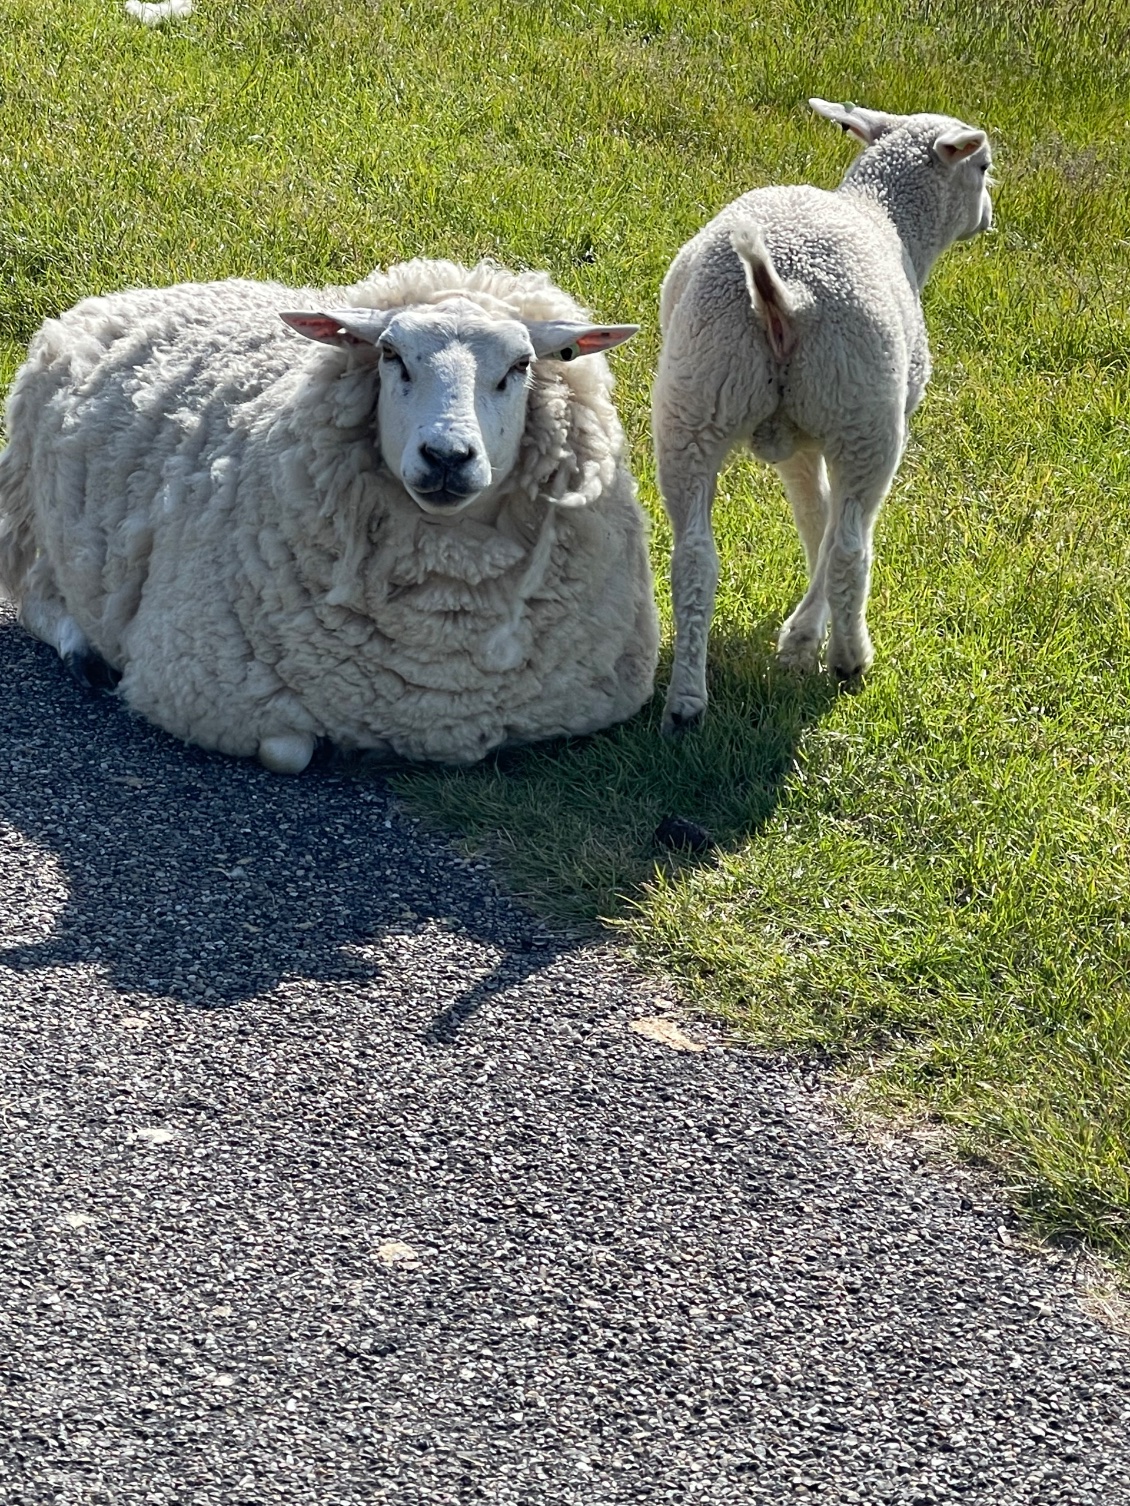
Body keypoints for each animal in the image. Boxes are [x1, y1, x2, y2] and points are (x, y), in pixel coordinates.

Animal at [0, 259, 659, 771]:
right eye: (391, 355)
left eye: (520, 367)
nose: (447, 457)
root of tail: (121, 296)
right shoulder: (198, 681)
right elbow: (287, 751)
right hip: (38, 512)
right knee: (35, 596)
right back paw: (82, 651)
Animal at [653, 97, 988, 731]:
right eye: (982, 168)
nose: (989, 218)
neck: (889, 219)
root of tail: (784, 295)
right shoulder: (843, 427)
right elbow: (832, 532)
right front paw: (806, 637)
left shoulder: (795, 443)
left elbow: (814, 520)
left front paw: (801, 632)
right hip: (864, 412)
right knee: (853, 549)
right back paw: (851, 659)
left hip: (697, 396)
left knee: (694, 557)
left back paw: (686, 698)